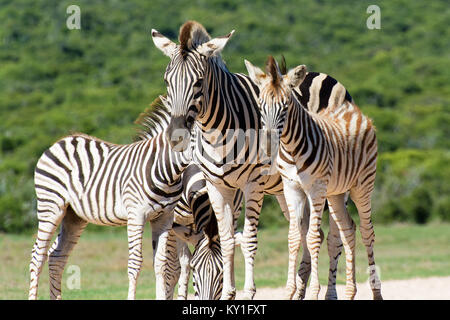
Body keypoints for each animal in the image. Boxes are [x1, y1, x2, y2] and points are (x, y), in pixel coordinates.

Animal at [27, 96, 192, 298]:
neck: (164, 168)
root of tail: (60, 142)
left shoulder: (164, 217)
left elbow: (162, 264)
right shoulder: (136, 215)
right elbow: (136, 262)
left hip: (74, 216)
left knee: (56, 256)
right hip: (51, 205)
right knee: (38, 256)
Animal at [151, 20, 356, 300]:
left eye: (199, 81)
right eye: (166, 80)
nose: (177, 135)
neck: (217, 132)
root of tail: (322, 75)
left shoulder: (253, 184)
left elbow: (248, 239)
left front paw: (248, 292)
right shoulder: (217, 186)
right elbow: (226, 239)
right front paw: (229, 292)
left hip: (334, 182)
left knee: (339, 233)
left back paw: (331, 293)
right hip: (287, 188)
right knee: (307, 231)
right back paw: (299, 289)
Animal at [244, 55, 382, 300]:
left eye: (285, 107)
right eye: (260, 105)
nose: (268, 146)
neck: (292, 149)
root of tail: (353, 110)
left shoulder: (316, 189)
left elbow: (313, 237)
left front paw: (314, 291)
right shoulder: (292, 188)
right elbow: (294, 237)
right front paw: (289, 290)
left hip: (362, 186)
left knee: (368, 232)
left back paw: (376, 292)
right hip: (336, 192)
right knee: (348, 230)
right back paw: (349, 292)